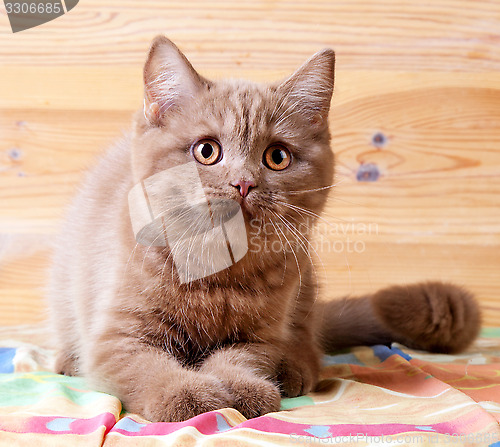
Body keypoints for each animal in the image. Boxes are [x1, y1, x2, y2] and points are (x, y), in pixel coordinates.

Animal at [47, 36, 480, 424]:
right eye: (207, 150)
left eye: (277, 157)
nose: (243, 183)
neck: (218, 275)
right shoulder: (116, 338)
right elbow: (147, 368)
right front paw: (185, 393)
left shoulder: (260, 336)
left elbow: (240, 358)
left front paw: (243, 387)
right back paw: (68, 359)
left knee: (309, 343)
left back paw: (294, 368)